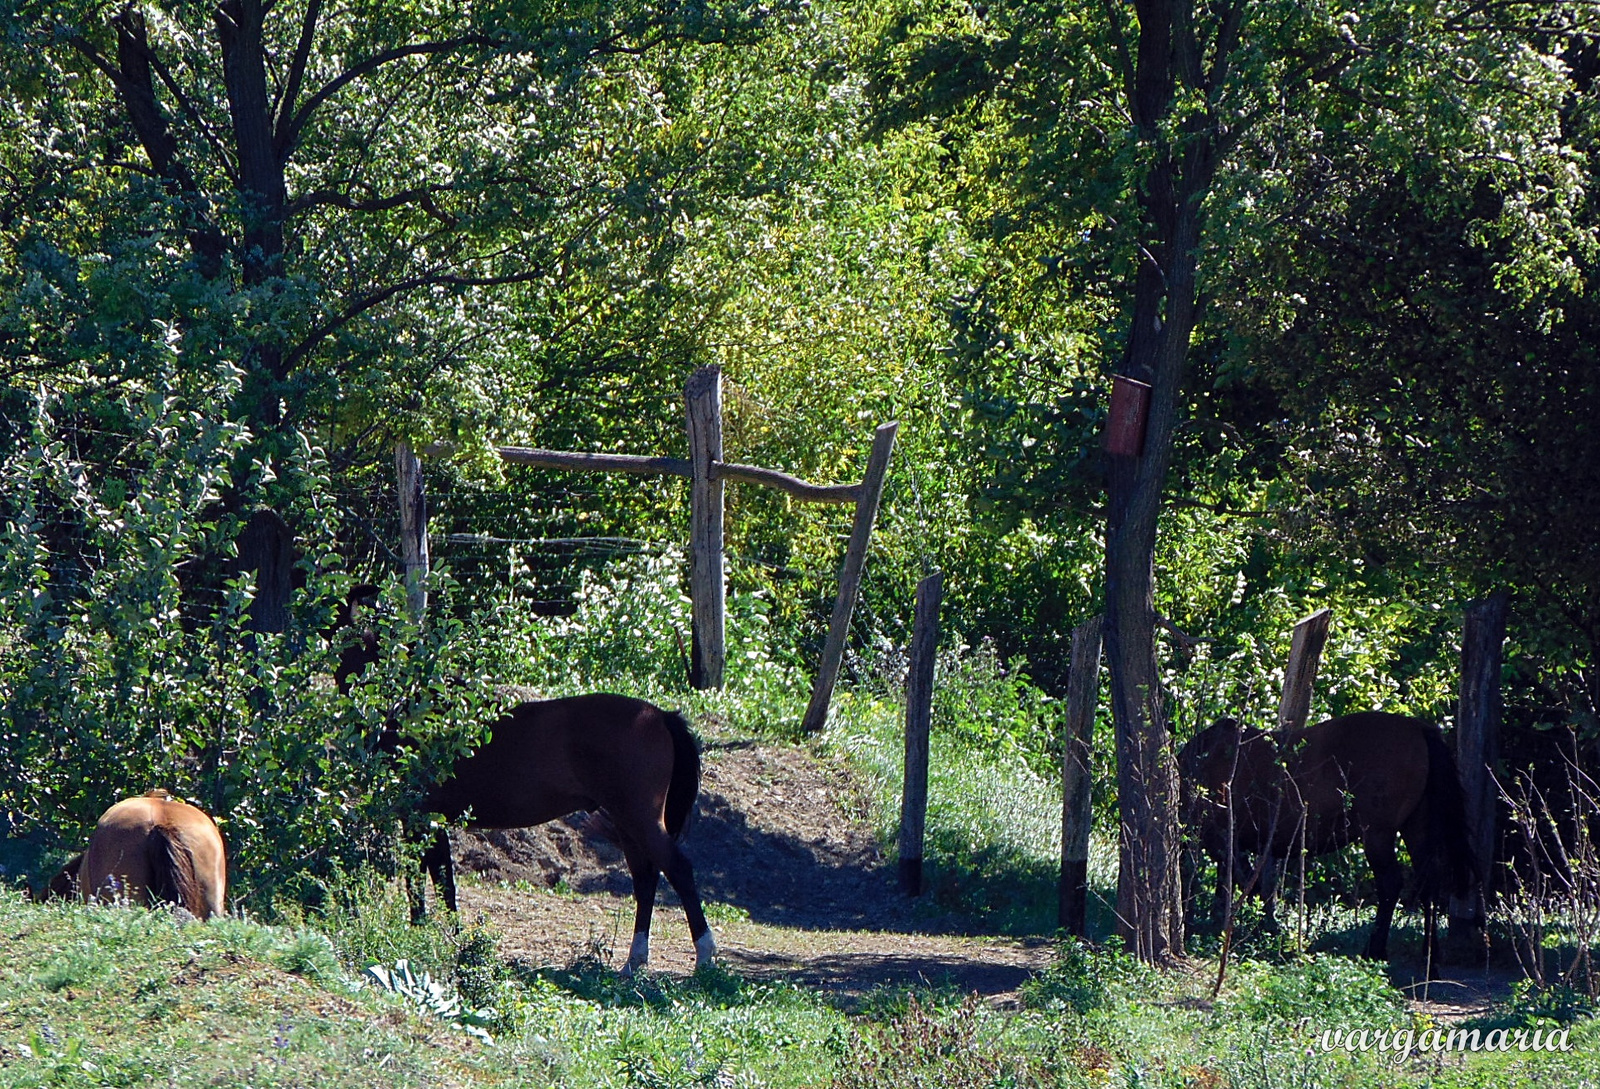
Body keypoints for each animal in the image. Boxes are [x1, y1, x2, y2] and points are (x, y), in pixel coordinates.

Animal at [412, 690, 720, 972]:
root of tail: (660, 716)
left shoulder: (419, 817)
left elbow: (421, 879)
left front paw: (425, 933)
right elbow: (443, 881)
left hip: (640, 820)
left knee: (678, 870)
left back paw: (704, 956)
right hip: (628, 825)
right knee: (646, 880)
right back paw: (635, 961)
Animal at [1177, 713, 1472, 959]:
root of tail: (1417, 727)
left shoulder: (1222, 841)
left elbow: (1247, 886)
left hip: (1378, 834)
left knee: (1391, 883)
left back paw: (1375, 950)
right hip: (1415, 828)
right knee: (1429, 882)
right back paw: (1430, 956)